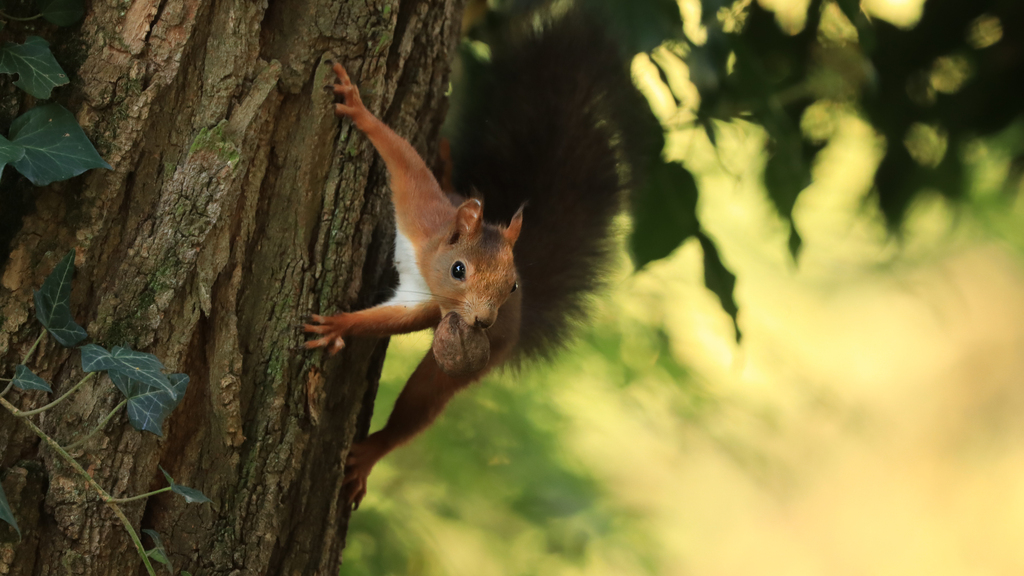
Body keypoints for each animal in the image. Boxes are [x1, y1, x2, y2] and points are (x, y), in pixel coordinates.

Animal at [303, 10, 647, 506]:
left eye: (512, 284)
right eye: (458, 269)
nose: (482, 321)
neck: (426, 260)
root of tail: (515, 326)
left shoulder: (429, 305)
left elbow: (390, 320)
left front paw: (339, 326)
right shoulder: (422, 210)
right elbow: (403, 158)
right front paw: (359, 109)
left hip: (465, 365)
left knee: (421, 403)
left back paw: (370, 454)